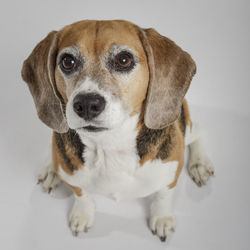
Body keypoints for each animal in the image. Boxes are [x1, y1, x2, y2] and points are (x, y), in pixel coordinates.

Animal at [21, 20, 213, 242]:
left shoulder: (170, 175)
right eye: (67, 61)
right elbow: (81, 193)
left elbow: (163, 196)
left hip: (186, 127)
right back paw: (50, 170)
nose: (87, 104)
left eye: (123, 59)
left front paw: (162, 218)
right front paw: (82, 214)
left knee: (200, 130)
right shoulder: (75, 180)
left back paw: (199, 164)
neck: (109, 146)